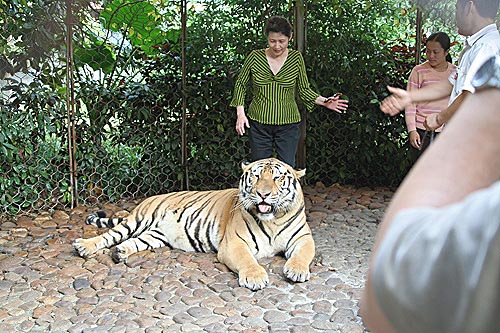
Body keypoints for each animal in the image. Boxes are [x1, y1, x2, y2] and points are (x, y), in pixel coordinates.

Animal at [72, 157, 314, 290]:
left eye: (277, 178)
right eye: (255, 177)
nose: (263, 194)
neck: (273, 220)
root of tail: (148, 199)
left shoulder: (303, 238)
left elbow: (303, 255)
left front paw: (296, 271)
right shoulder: (234, 243)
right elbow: (247, 260)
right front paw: (255, 278)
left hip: (154, 236)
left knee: (133, 242)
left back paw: (120, 252)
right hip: (137, 220)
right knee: (109, 235)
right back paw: (84, 246)